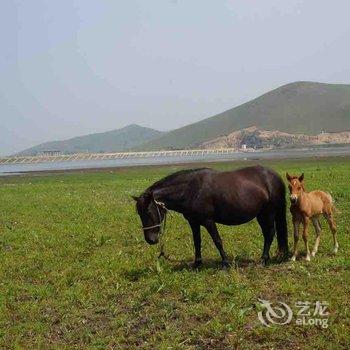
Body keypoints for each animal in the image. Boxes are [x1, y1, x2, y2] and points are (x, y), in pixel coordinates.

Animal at [133, 165, 288, 266]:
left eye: (148, 212)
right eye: (139, 213)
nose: (150, 240)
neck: (191, 190)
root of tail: (274, 176)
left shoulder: (208, 221)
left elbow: (217, 240)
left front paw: (225, 262)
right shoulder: (193, 222)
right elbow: (197, 241)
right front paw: (197, 263)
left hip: (268, 213)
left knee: (270, 233)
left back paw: (263, 260)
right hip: (261, 215)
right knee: (267, 234)